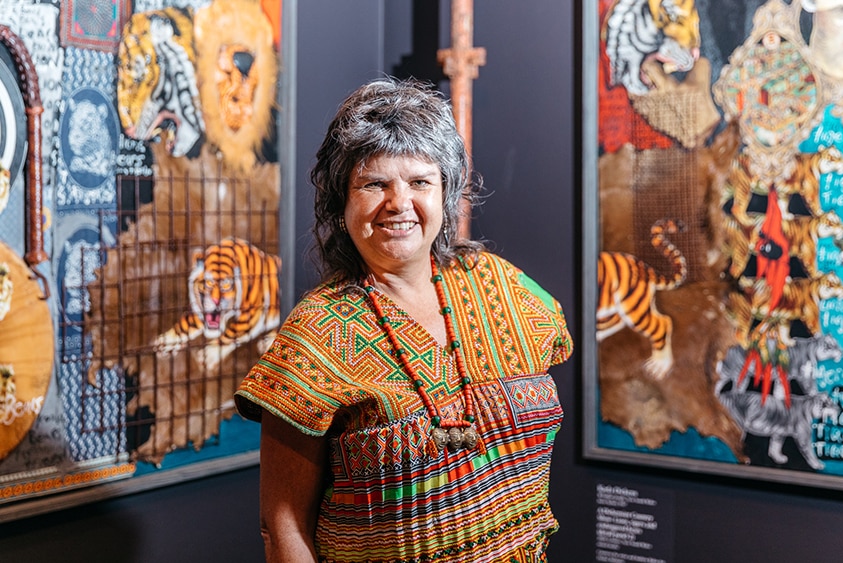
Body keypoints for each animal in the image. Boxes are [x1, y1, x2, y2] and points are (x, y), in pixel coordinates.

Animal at [152, 237, 280, 372]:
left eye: (226, 284)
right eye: (208, 282)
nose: (215, 301)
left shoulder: (251, 314)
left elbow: (231, 334)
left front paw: (209, 355)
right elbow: (186, 323)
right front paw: (166, 342)